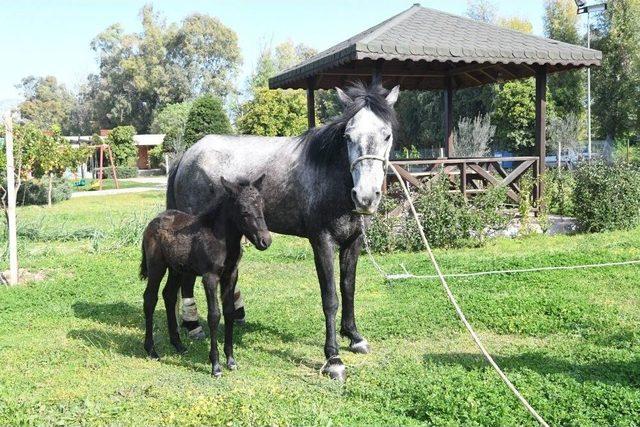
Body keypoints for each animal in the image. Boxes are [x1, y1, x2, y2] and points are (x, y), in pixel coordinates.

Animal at [170, 81, 400, 382]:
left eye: (387, 135)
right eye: (348, 136)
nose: (365, 197)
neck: (329, 174)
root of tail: (186, 155)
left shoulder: (353, 241)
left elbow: (348, 288)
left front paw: (354, 337)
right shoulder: (322, 242)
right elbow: (330, 298)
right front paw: (334, 359)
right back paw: (193, 324)